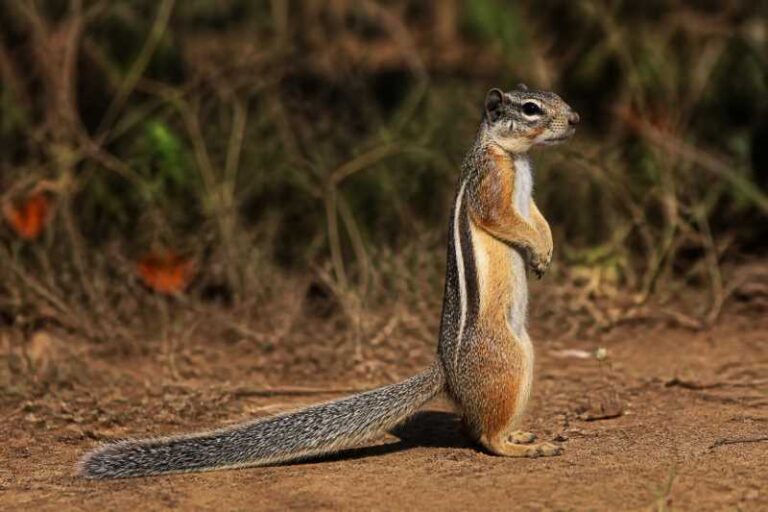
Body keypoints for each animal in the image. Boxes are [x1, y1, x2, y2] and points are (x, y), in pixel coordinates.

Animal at [78, 84, 579, 479]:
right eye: (531, 108)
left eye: (555, 98)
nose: (575, 119)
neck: (513, 155)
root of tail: (448, 374)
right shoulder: (491, 184)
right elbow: (504, 219)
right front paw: (538, 252)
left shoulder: (528, 197)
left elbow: (538, 219)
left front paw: (547, 251)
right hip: (509, 358)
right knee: (482, 436)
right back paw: (519, 446)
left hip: (524, 354)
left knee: (474, 426)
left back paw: (521, 433)